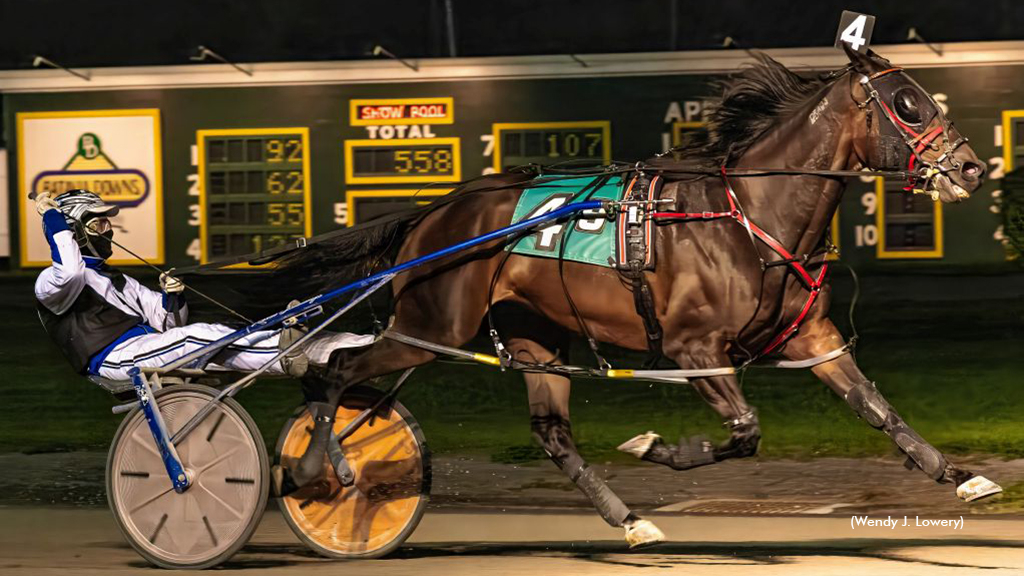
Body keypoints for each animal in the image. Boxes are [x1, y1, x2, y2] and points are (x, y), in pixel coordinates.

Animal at [272, 47, 991, 545]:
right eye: (907, 103)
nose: (972, 167)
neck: (748, 214)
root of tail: (438, 210)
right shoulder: (694, 348)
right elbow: (744, 431)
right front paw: (654, 448)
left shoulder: (812, 338)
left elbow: (876, 407)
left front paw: (959, 476)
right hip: (431, 324)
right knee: (336, 370)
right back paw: (316, 473)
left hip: (534, 334)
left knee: (552, 432)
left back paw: (628, 520)